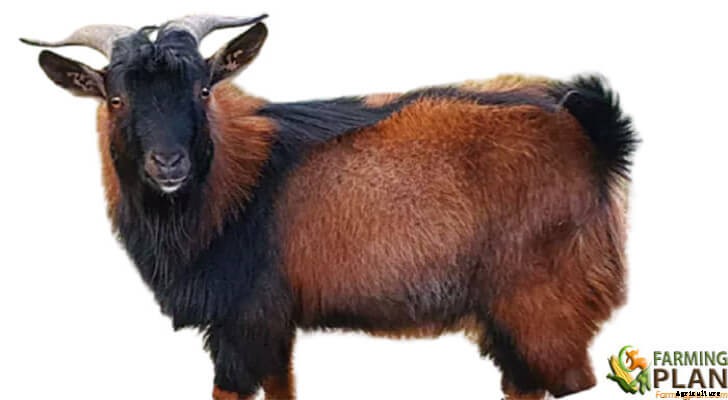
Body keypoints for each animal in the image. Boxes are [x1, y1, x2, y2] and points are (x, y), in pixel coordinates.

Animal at [21, 13, 637, 400]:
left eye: (202, 89)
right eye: (116, 98)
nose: (168, 164)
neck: (235, 186)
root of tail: (592, 131)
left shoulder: (245, 324)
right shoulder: (273, 326)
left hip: (544, 305)